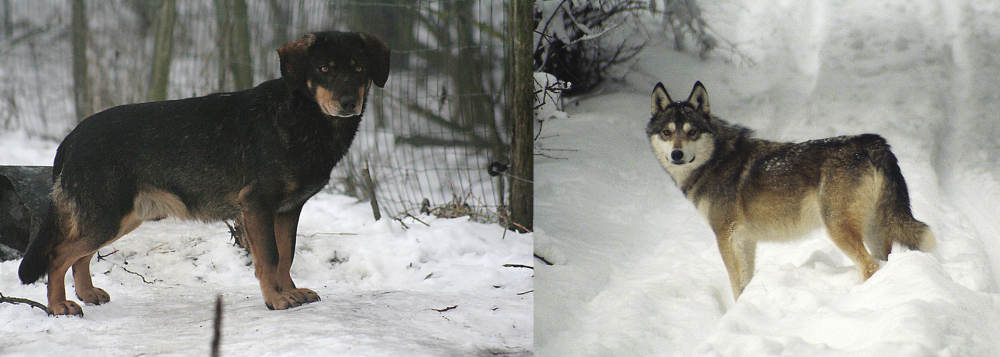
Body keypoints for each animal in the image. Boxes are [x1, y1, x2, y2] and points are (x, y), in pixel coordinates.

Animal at [17, 30, 390, 314]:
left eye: (359, 68)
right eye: (324, 69)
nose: (348, 102)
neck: (301, 117)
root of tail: (72, 137)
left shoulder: (287, 211)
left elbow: (286, 255)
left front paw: (290, 292)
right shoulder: (258, 206)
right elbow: (269, 258)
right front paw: (276, 299)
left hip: (121, 218)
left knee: (80, 257)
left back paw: (87, 295)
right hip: (107, 217)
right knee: (58, 256)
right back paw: (58, 306)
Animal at [648, 80, 936, 298]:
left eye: (692, 132)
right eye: (666, 132)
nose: (676, 154)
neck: (716, 160)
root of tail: (873, 142)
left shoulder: (726, 237)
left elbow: (736, 285)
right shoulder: (746, 240)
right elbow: (745, 281)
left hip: (838, 228)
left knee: (870, 267)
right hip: (874, 231)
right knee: (882, 263)